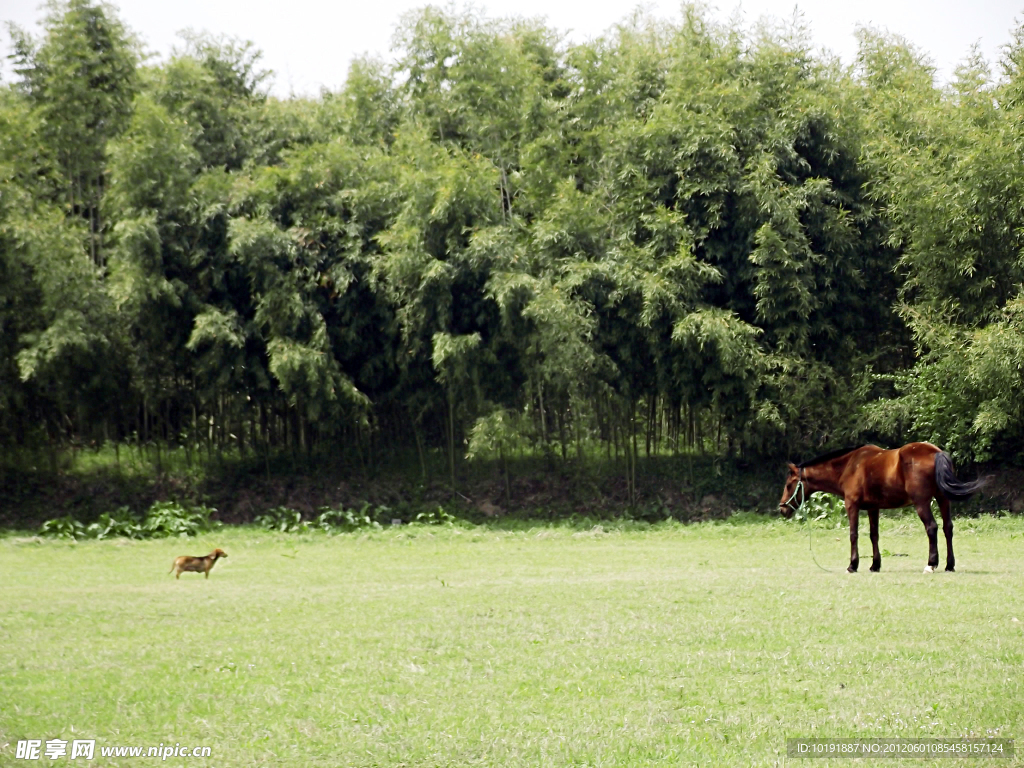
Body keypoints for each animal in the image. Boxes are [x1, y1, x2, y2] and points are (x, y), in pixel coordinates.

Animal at [778, 444, 987, 573]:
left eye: (789, 485)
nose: (782, 509)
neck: (850, 466)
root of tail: (935, 452)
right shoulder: (873, 508)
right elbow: (874, 535)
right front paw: (874, 565)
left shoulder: (851, 505)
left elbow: (853, 534)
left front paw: (852, 565)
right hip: (943, 499)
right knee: (947, 528)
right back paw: (949, 565)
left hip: (922, 503)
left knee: (932, 528)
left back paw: (931, 564)